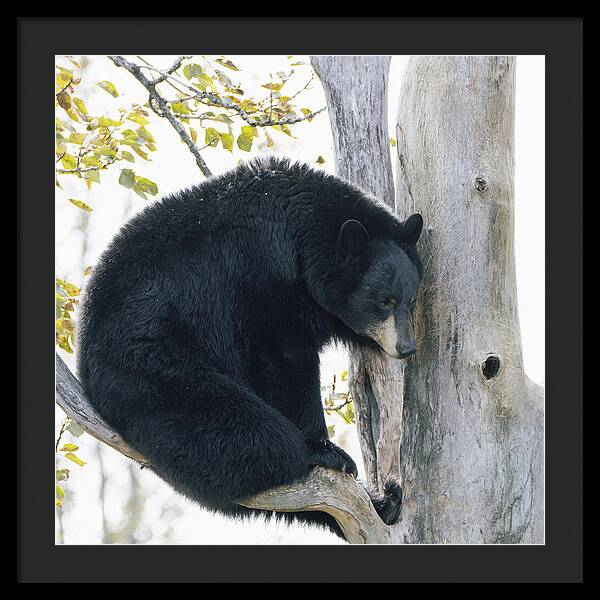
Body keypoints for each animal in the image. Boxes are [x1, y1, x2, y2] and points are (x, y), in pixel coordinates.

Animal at [77, 156, 422, 540]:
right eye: (385, 301)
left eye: (410, 300)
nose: (406, 347)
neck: (302, 237)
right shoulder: (260, 277)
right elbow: (283, 360)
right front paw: (324, 447)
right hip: (151, 364)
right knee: (248, 433)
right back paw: (307, 457)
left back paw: (384, 502)